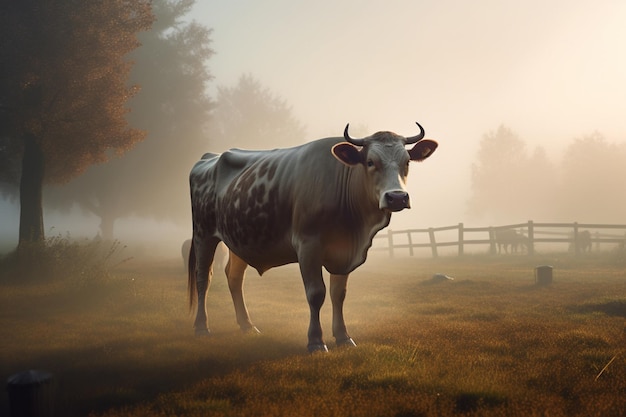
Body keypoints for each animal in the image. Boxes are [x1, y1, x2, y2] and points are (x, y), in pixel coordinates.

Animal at [188, 121, 436, 352]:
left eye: (407, 162)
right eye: (370, 162)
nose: (397, 197)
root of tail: (210, 157)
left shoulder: (344, 250)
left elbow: (338, 294)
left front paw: (343, 337)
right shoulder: (308, 245)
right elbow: (316, 293)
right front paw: (316, 341)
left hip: (240, 238)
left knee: (234, 277)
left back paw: (247, 325)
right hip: (203, 234)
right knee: (203, 277)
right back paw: (201, 327)